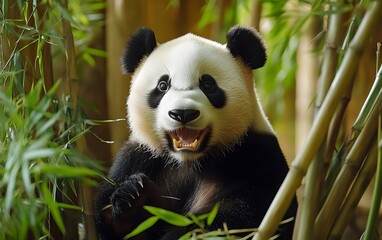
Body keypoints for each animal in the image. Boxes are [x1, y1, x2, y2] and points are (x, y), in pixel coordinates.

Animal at [94, 25, 296, 239]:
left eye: (208, 85)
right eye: (163, 85)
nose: (183, 113)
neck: (190, 160)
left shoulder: (257, 155)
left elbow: (243, 215)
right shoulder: (139, 156)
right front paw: (132, 200)